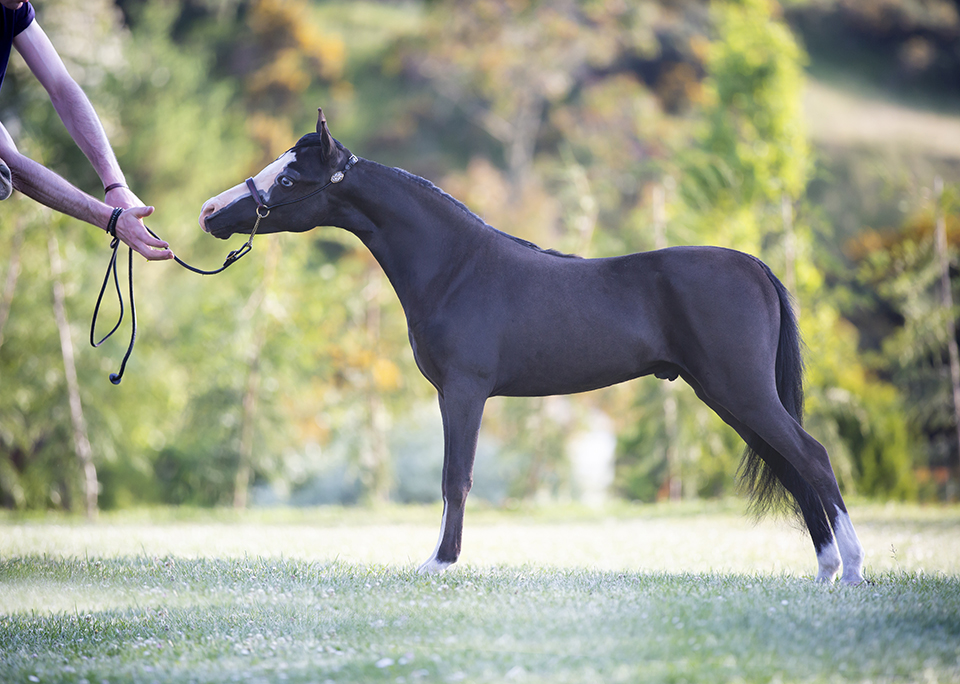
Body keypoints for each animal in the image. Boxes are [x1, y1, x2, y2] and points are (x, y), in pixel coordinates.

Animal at [199, 109, 865, 584]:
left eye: (289, 177)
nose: (210, 212)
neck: (457, 267)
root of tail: (756, 268)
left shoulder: (465, 392)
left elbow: (456, 477)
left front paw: (441, 562)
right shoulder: (454, 394)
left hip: (741, 393)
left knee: (812, 458)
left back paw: (852, 570)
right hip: (730, 397)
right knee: (792, 468)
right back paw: (826, 570)